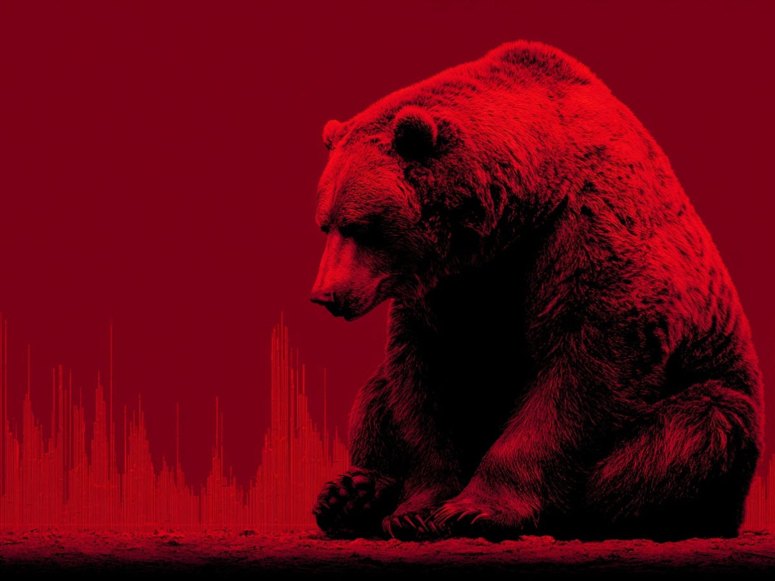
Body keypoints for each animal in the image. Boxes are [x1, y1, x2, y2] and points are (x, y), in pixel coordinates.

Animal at [309, 40, 763, 541]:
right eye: (326, 224)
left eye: (361, 227)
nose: (327, 294)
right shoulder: (452, 286)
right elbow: (425, 380)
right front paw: (416, 509)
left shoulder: (584, 237)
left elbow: (582, 373)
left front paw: (474, 509)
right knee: (375, 394)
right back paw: (352, 494)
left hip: (710, 383)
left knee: (696, 429)